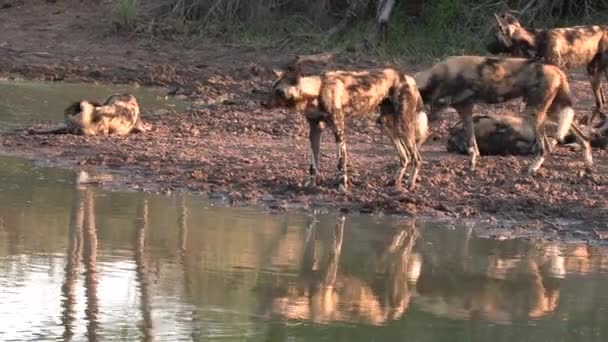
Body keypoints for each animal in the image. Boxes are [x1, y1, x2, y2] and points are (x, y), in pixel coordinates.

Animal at [262, 54, 428, 191]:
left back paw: (410, 184)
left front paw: (341, 186)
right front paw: (311, 184)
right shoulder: (314, 129)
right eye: (271, 89)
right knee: (405, 157)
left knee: (417, 158)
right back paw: (395, 182)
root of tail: (407, 77)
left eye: (278, 92)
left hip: (404, 126)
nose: (262, 103)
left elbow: (341, 162)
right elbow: (313, 162)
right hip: (388, 125)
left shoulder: (339, 130)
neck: (318, 91)